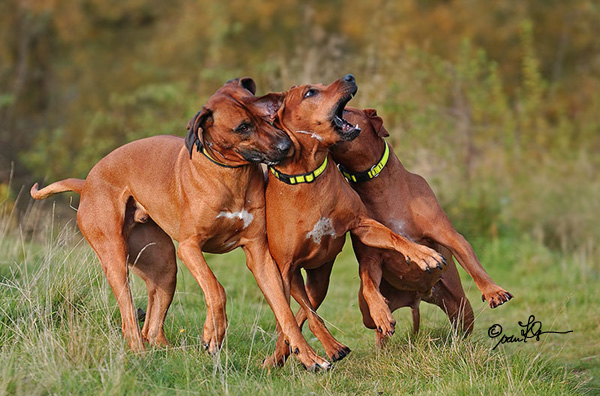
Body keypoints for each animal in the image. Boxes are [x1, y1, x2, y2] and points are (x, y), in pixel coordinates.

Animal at [30, 78, 330, 372]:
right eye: (243, 127)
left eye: (269, 117)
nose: (286, 146)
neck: (231, 175)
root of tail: (87, 182)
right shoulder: (189, 247)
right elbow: (216, 289)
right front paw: (213, 333)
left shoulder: (259, 254)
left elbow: (283, 309)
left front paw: (309, 356)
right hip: (115, 257)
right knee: (129, 318)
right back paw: (140, 356)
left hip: (164, 265)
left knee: (152, 328)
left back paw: (169, 351)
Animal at [262, 75, 446, 368]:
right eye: (310, 93)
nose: (349, 77)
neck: (309, 177)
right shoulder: (285, 268)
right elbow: (292, 316)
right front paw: (307, 351)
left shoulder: (362, 225)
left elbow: (394, 237)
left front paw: (423, 254)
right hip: (293, 278)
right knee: (296, 316)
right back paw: (307, 351)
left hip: (319, 282)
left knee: (306, 312)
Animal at [330, 106, 512, 344]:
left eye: (348, 110)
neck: (378, 186)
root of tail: (416, 299)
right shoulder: (370, 258)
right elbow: (369, 284)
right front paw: (381, 312)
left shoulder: (449, 235)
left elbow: (471, 262)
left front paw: (493, 291)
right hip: (368, 315)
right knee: (377, 329)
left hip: (461, 307)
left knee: (462, 326)